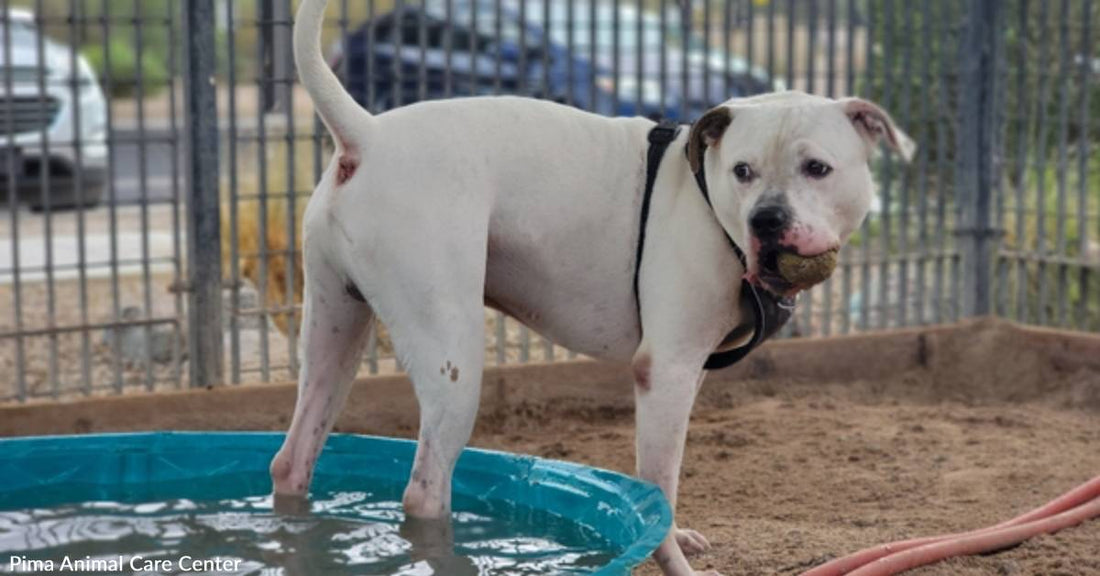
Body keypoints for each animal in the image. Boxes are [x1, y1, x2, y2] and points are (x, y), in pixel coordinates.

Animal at [270, 2, 915, 571]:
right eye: (743, 171)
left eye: (817, 168)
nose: (767, 219)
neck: (707, 198)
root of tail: (367, 134)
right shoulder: (666, 370)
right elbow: (659, 485)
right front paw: (671, 559)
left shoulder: (686, 373)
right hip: (450, 356)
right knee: (425, 489)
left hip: (334, 332)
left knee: (292, 458)